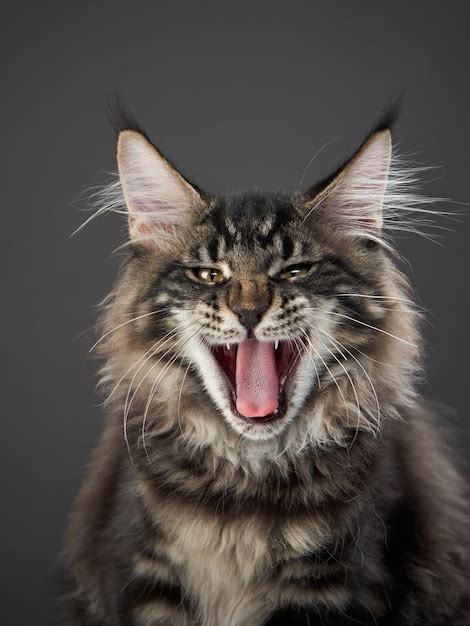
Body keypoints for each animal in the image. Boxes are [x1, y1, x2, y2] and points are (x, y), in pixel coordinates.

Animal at [62, 105, 470, 620]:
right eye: (209, 275)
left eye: (294, 271)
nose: (249, 311)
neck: (245, 480)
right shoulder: (141, 573)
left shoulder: (337, 581)